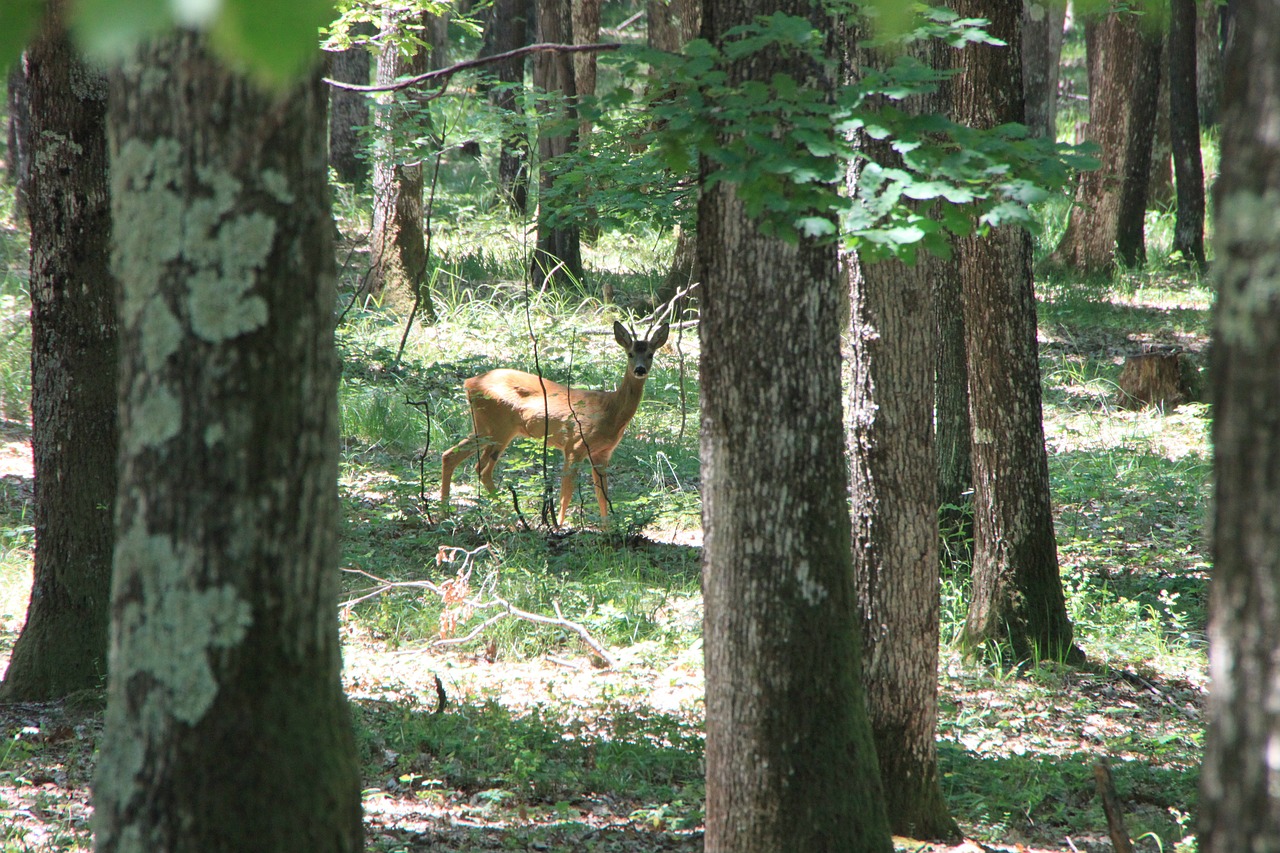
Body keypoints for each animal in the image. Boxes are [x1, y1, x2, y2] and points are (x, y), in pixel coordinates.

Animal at [440, 320, 670, 525]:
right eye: (630, 353)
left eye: (650, 354)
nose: (640, 369)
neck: (610, 410)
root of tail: (469, 383)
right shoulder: (574, 444)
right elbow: (566, 493)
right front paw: (559, 526)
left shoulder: (602, 453)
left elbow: (602, 495)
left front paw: (608, 531)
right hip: (499, 427)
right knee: (482, 468)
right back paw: (510, 519)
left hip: (484, 426)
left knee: (451, 455)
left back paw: (445, 513)